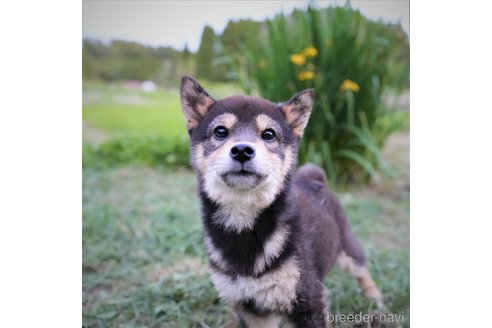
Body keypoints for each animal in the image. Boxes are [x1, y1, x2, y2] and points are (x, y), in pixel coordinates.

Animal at [181, 77, 384, 328]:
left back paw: (376, 299)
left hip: (346, 247)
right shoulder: (250, 308)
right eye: (220, 131)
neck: (244, 227)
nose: (242, 150)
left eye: (268, 134)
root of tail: (313, 177)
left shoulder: (307, 301)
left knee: (362, 267)